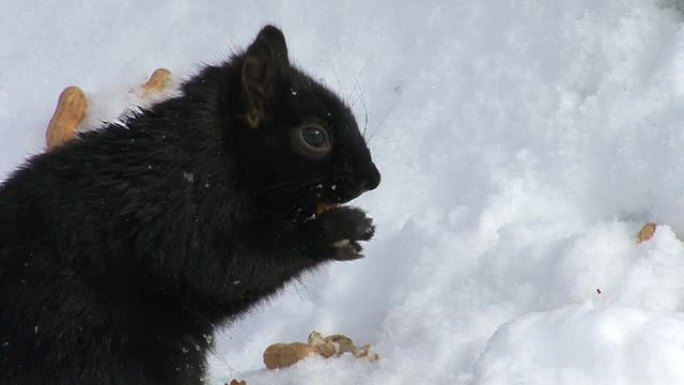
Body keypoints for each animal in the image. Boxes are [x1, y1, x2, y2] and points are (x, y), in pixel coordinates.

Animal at [0, 25, 380, 382]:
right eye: (314, 136)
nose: (373, 178)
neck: (206, 158)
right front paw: (338, 230)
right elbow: (226, 270)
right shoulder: (174, 220)